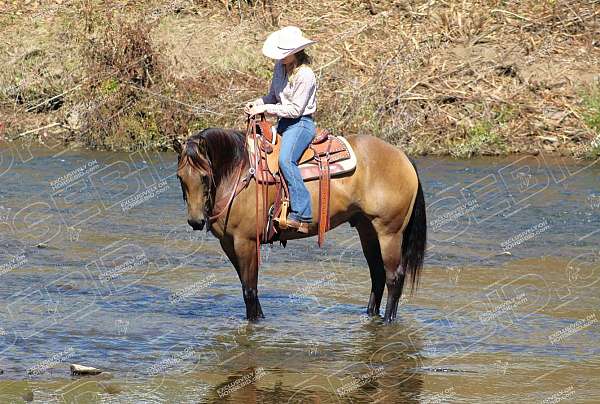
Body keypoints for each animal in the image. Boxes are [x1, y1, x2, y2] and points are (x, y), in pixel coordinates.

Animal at [173, 118, 426, 324]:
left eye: (205, 176)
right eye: (180, 177)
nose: (195, 221)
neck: (240, 171)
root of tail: (404, 157)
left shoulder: (246, 242)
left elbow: (250, 291)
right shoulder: (228, 243)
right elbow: (248, 288)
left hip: (389, 233)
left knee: (394, 277)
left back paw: (388, 321)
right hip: (367, 230)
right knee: (377, 275)